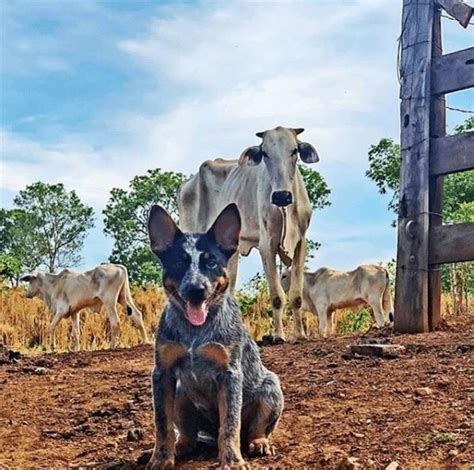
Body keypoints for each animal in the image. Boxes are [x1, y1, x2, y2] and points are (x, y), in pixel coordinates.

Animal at [19, 262, 148, 350]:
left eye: (30, 281)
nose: (27, 294)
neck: (54, 284)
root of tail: (119, 267)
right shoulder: (74, 312)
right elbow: (76, 332)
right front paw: (76, 349)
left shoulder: (61, 311)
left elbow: (52, 326)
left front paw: (53, 346)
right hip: (124, 298)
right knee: (137, 315)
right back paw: (145, 341)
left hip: (109, 302)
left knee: (115, 322)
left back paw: (112, 346)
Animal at [146, 205, 284, 470]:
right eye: (179, 262)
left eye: (211, 262)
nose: (196, 289)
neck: (195, 334)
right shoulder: (163, 374)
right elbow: (162, 424)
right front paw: (160, 458)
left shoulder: (229, 374)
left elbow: (230, 425)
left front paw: (232, 460)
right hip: (180, 394)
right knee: (188, 437)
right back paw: (179, 447)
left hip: (271, 389)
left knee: (254, 430)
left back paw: (259, 443)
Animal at [180, 126, 320, 340]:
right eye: (265, 153)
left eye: (294, 150)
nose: (281, 196)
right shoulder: (266, 245)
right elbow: (277, 296)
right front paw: (278, 335)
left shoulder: (300, 242)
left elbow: (296, 295)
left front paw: (300, 335)